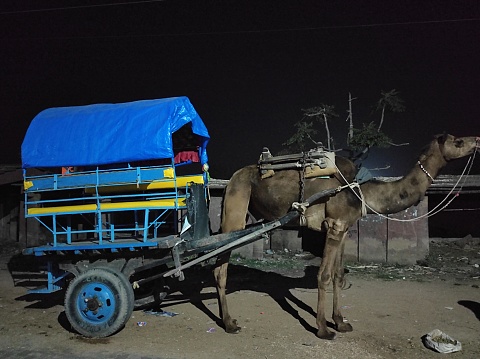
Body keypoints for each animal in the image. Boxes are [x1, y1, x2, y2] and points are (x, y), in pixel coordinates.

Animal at [218, 134, 480, 340]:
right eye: (457, 141)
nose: (476, 140)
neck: (361, 191)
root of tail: (233, 177)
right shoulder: (334, 226)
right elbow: (323, 275)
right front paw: (323, 329)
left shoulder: (344, 228)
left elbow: (337, 274)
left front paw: (341, 322)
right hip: (236, 204)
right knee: (220, 266)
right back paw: (229, 323)